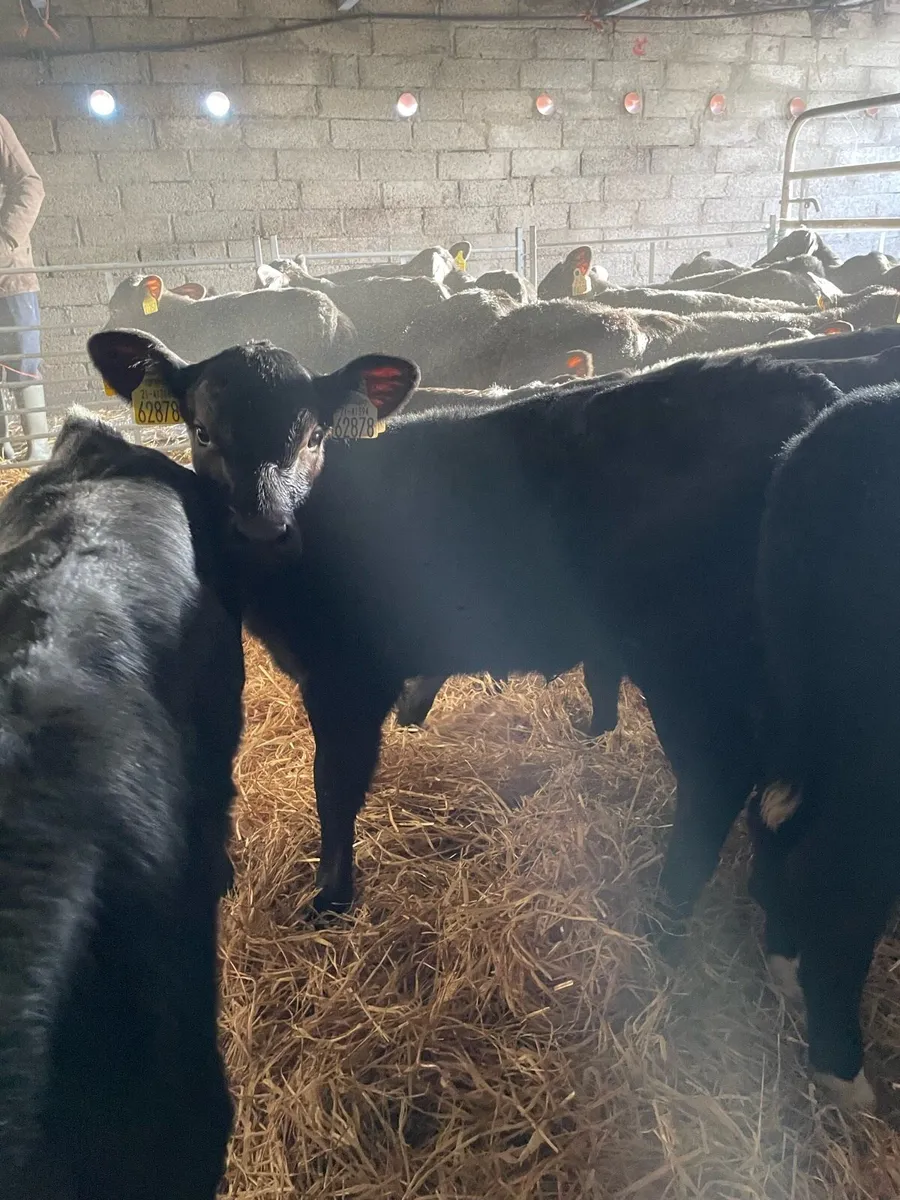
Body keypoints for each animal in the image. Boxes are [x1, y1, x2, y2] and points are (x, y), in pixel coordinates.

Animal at [89, 330, 841, 927]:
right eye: (203, 433)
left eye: (314, 436)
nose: (264, 531)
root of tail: (798, 384)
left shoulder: (347, 676)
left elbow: (335, 786)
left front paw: (331, 898)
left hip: (688, 657)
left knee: (718, 777)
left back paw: (664, 922)